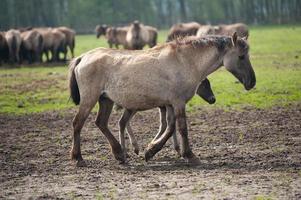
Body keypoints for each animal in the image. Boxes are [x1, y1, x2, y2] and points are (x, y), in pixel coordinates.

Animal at [68, 32, 255, 166]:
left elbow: (170, 127)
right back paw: (78, 158)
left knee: (101, 123)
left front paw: (151, 150)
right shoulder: (178, 102)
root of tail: (83, 57)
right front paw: (190, 155)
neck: (185, 61)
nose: (252, 82)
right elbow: (181, 128)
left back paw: (120, 154)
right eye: (241, 56)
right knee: (78, 123)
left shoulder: (170, 104)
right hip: (90, 99)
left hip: (106, 100)